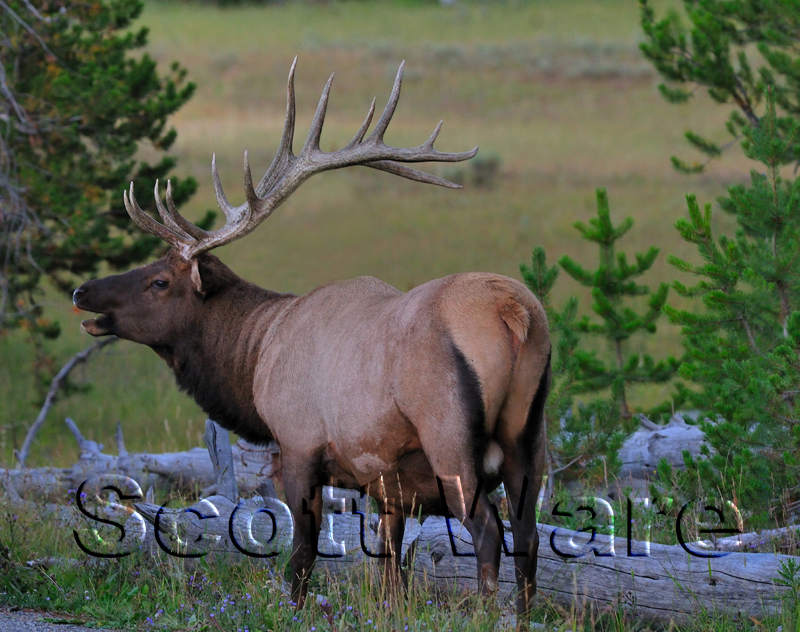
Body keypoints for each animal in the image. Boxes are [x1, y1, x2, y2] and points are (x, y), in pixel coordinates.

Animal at [72, 59, 551, 616]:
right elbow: (389, 569)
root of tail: (514, 312)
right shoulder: (386, 481)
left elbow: (301, 553)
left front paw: (293, 609)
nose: (83, 291)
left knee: (489, 532)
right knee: (528, 534)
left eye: (159, 281)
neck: (255, 360)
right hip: (529, 439)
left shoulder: (298, 444)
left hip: (450, 439)